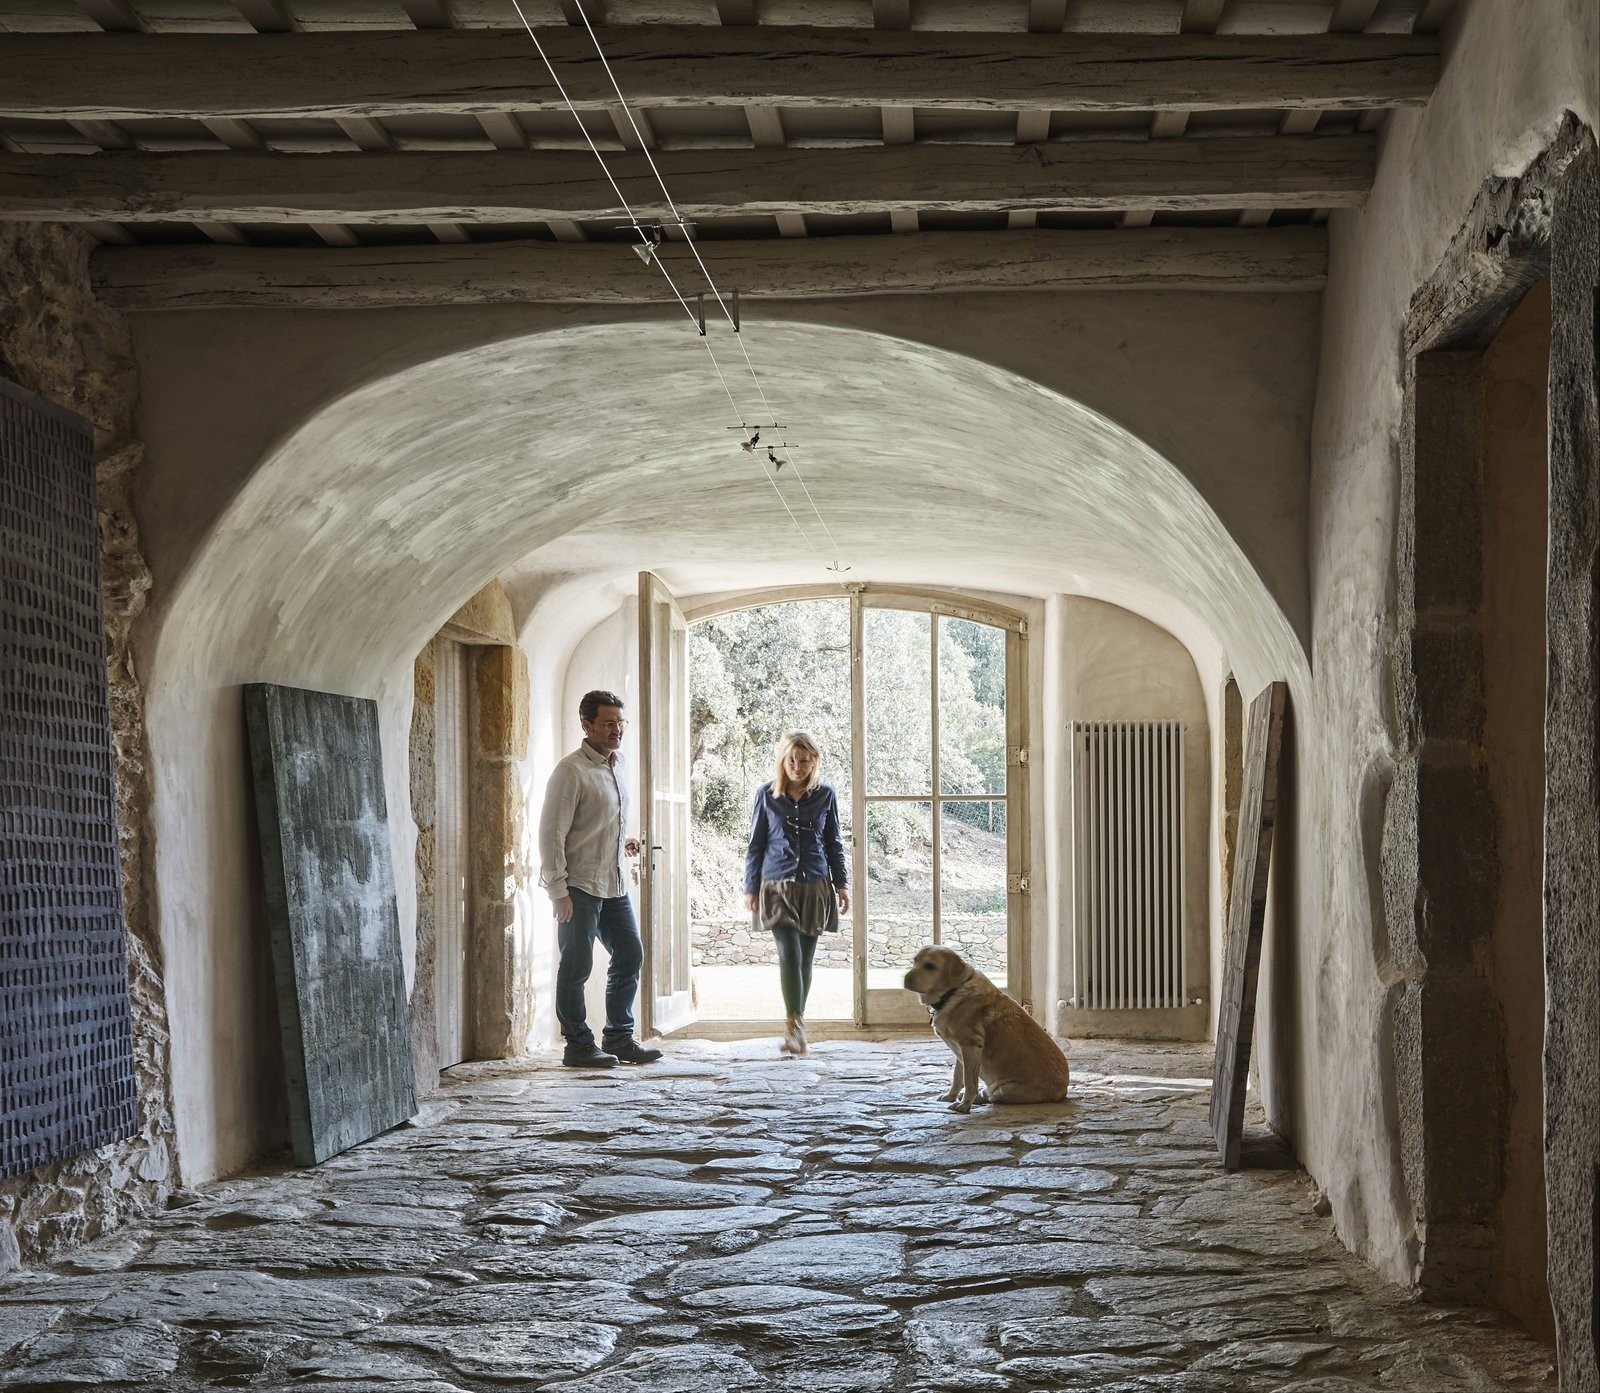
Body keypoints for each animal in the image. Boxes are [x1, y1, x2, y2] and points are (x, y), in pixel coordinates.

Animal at [908, 946, 1068, 1113]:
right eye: (914, 961)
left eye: (930, 966)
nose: (905, 979)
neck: (954, 991)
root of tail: (1063, 1091)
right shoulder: (960, 1049)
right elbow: (957, 1077)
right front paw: (950, 1096)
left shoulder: (971, 1045)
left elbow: (969, 1081)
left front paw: (965, 1105)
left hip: (1003, 1090)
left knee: (991, 1096)